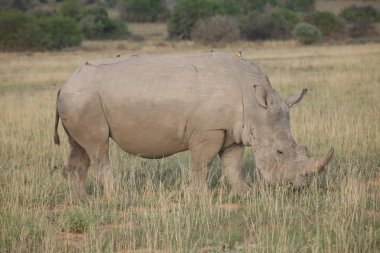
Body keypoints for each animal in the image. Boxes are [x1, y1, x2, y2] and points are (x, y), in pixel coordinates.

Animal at [52, 52, 332, 201]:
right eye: (280, 152)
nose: (299, 187)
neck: (255, 106)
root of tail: (64, 84)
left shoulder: (233, 131)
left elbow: (233, 166)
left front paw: (245, 193)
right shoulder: (208, 130)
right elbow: (202, 164)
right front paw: (203, 197)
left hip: (78, 98)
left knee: (80, 149)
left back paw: (82, 200)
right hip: (85, 99)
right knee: (98, 147)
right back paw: (119, 197)